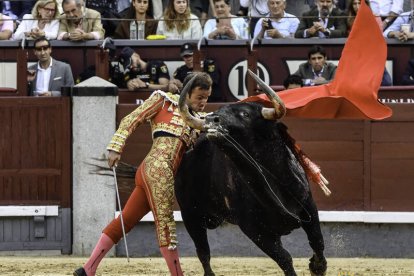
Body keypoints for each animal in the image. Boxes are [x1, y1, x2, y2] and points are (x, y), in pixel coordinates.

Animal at [176, 102, 328, 276]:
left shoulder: (308, 205)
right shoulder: (253, 230)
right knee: (203, 252)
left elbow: (317, 240)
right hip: (190, 215)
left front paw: (317, 267)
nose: (210, 121)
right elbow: (284, 257)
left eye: (245, 114)